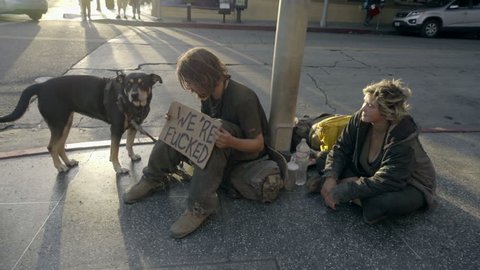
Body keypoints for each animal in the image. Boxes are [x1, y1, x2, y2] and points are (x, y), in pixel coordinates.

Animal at [0, 72, 163, 173]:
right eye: (128, 84)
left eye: (143, 84)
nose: (134, 95)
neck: (133, 105)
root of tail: (41, 86)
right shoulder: (116, 129)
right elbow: (115, 151)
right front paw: (118, 168)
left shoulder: (134, 127)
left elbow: (129, 143)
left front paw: (132, 156)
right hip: (58, 124)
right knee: (51, 147)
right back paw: (60, 167)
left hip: (66, 123)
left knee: (59, 146)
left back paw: (67, 163)